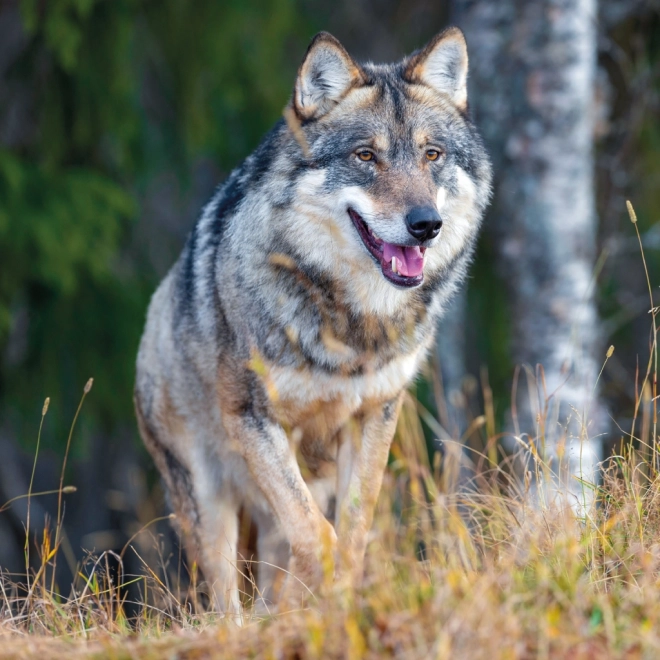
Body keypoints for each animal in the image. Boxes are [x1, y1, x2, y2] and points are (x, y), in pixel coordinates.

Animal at [135, 24, 490, 612]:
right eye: (366, 156)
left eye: (432, 154)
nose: (426, 225)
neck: (351, 325)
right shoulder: (254, 419)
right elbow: (316, 533)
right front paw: (316, 598)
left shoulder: (375, 415)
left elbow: (352, 530)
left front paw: (337, 600)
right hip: (209, 501)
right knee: (224, 600)